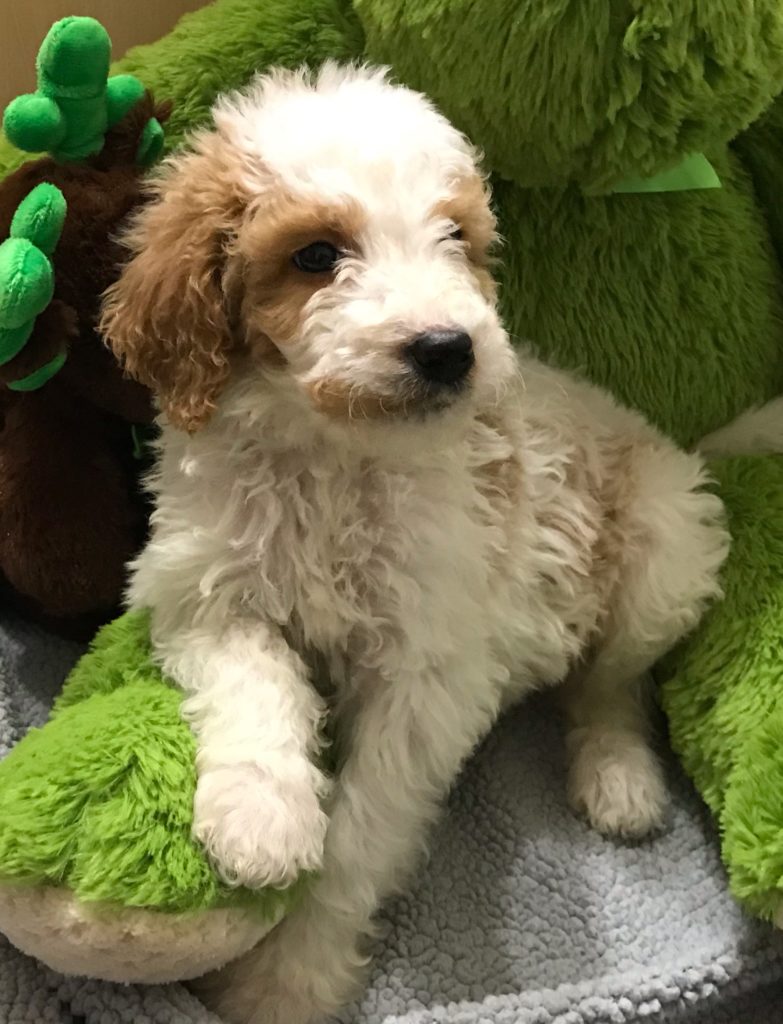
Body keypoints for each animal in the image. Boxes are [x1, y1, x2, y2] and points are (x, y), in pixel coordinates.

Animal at [100, 66, 728, 1024]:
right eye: (315, 256)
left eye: (454, 237)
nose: (447, 349)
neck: (333, 455)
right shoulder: (199, 588)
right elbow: (255, 680)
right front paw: (261, 820)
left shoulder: (427, 680)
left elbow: (360, 836)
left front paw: (287, 980)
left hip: (668, 545)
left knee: (610, 687)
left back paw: (618, 778)